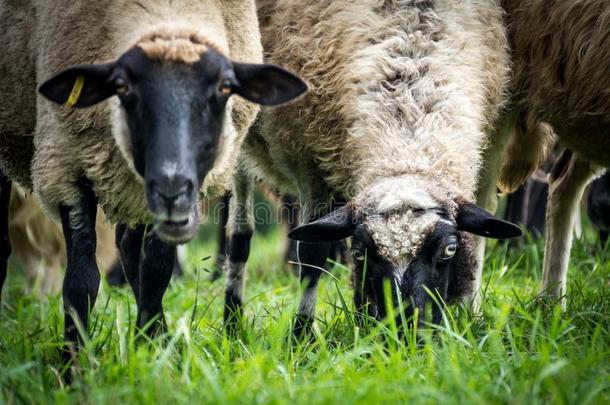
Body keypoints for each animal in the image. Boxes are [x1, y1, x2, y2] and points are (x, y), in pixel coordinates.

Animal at [0, 0, 304, 356]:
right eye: (121, 87)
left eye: (225, 87)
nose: (171, 188)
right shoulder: (66, 166)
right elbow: (80, 281)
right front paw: (74, 360)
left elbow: (157, 268)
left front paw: (151, 345)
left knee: (130, 246)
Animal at [221, 0, 520, 334]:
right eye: (360, 253)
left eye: (450, 250)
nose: (405, 332)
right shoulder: (309, 163)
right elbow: (311, 256)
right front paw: (302, 334)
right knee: (240, 234)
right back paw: (232, 322)